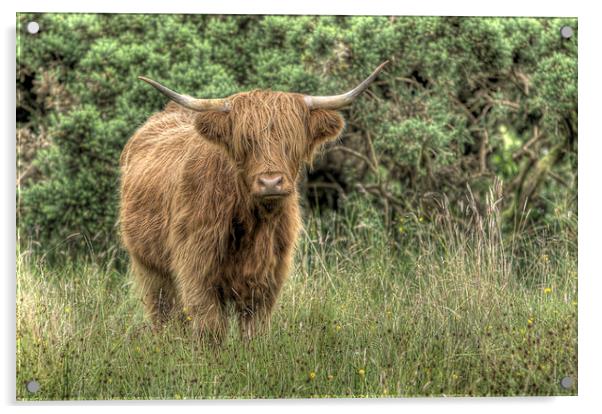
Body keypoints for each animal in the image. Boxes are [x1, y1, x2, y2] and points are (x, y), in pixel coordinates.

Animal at [119, 60, 386, 340]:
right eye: (246, 141)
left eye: (291, 141)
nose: (271, 182)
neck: (253, 223)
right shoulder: (197, 272)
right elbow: (210, 330)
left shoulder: (268, 279)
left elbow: (253, 330)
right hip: (149, 266)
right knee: (162, 311)